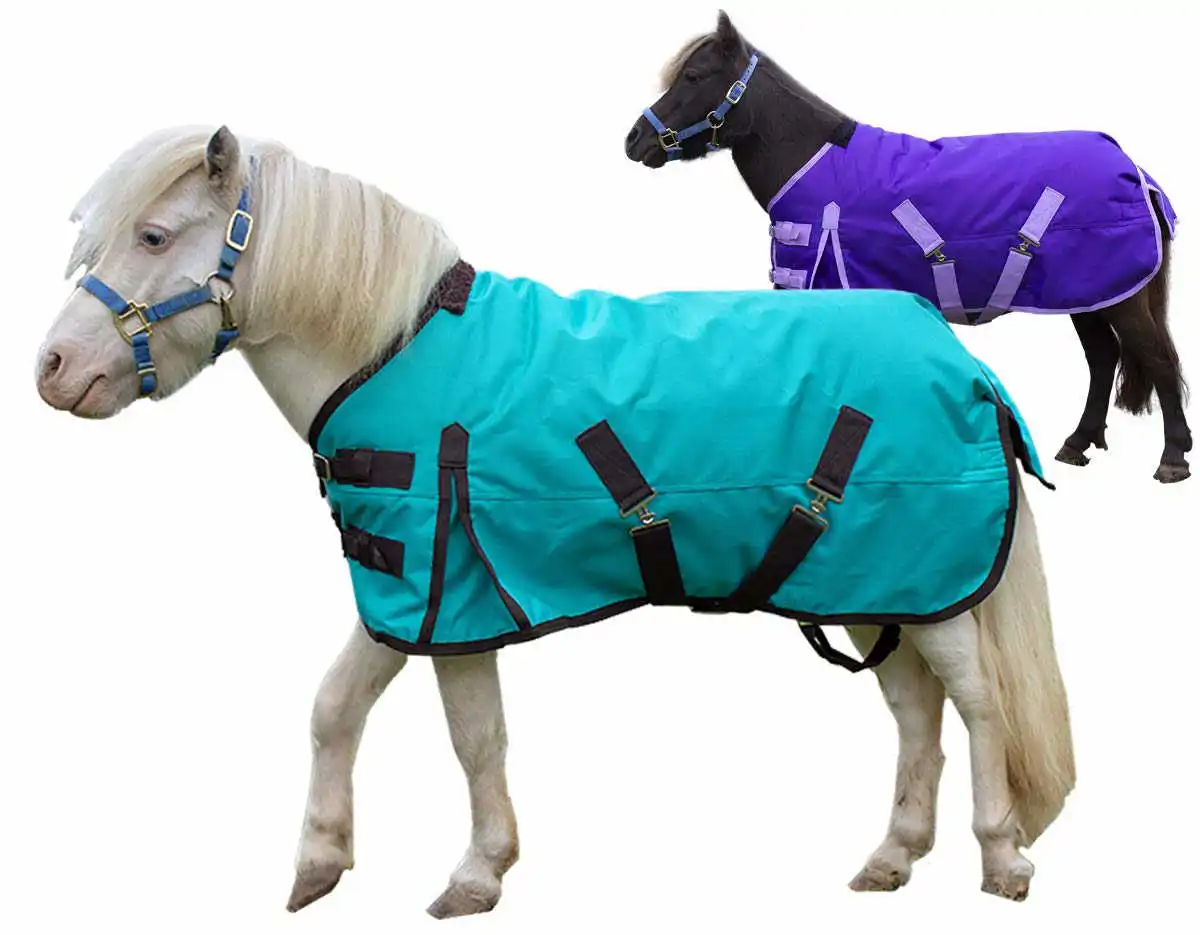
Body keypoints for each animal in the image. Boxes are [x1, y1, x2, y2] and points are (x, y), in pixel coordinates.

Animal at [34, 123, 1075, 913]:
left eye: (155, 236)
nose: (52, 369)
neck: (388, 350)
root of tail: (964, 362)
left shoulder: (447, 589)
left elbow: (472, 736)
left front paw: (474, 873)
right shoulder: (407, 586)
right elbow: (337, 705)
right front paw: (320, 864)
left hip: (930, 583)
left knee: (977, 702)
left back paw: (1000, 855)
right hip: (871, 584)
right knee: (913, 707)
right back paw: (893, 855)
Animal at [625, 10, 1192, 485]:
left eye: (693, 76)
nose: (634, 141)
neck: (817, 164)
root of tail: (1135, 170)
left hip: (1120, 296)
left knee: (1157, 359)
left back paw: (1172, 459)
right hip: (1088, 296)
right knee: (1103, 359)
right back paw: (1079, 443)